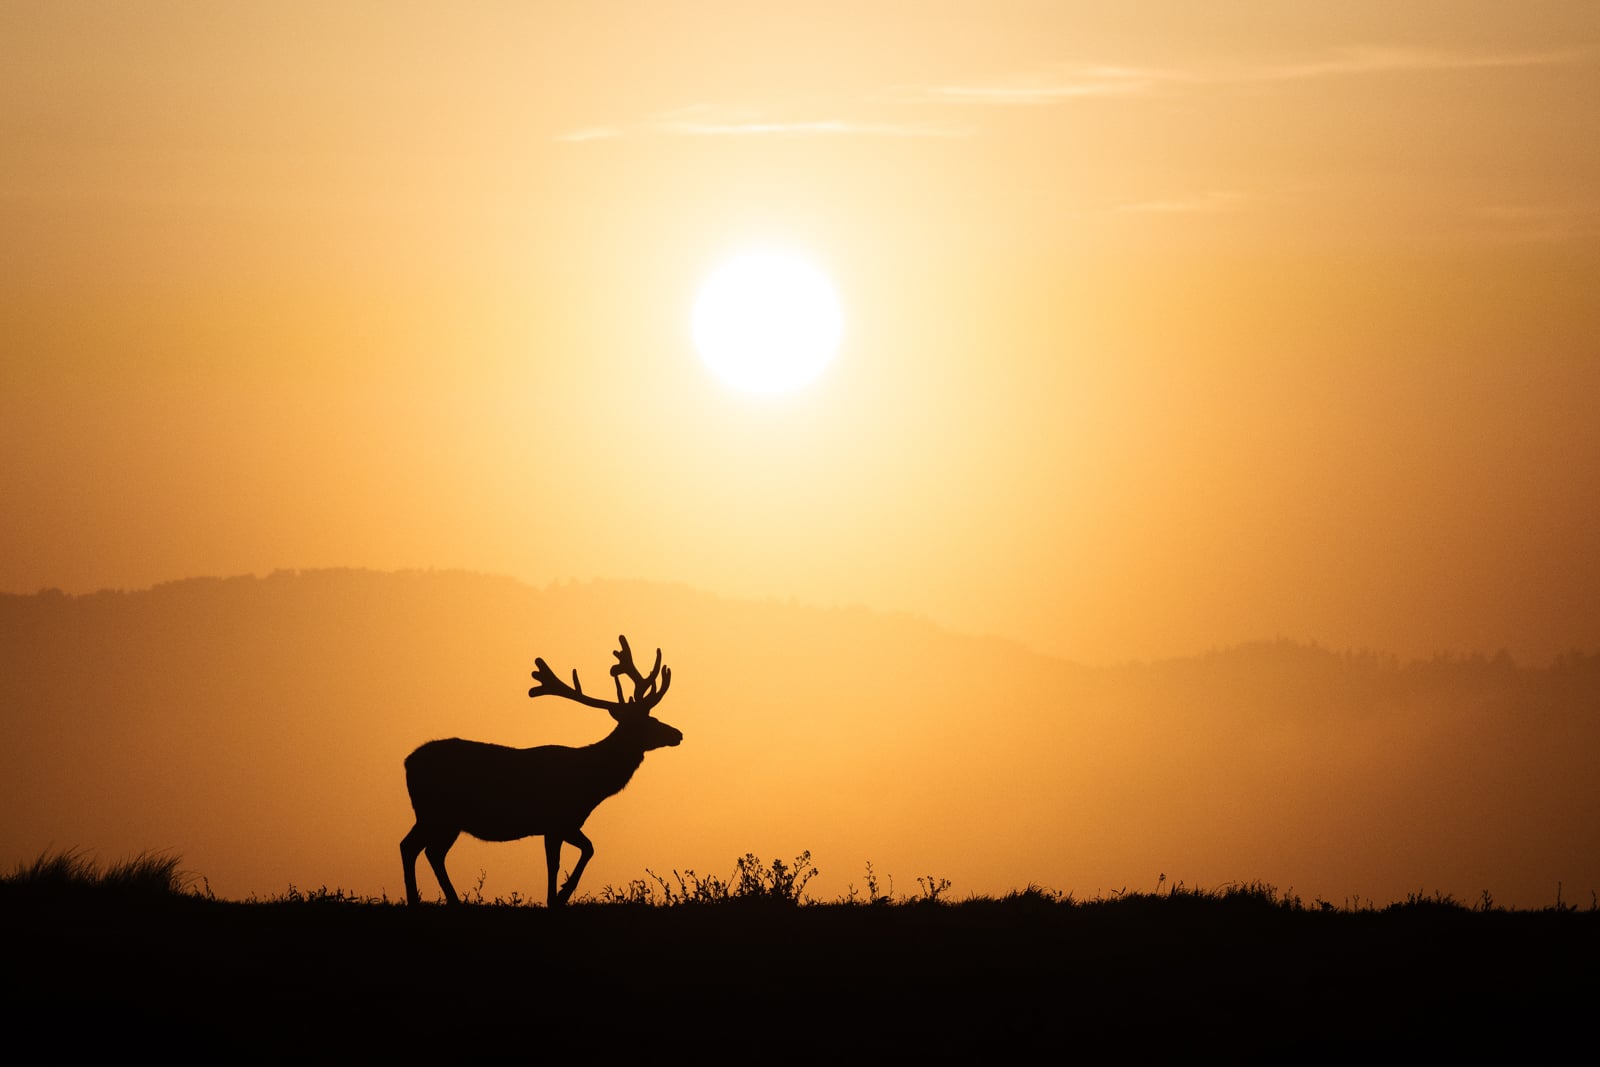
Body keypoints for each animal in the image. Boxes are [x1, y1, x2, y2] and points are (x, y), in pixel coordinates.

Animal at [401, 634, 682, 906]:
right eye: (648, 721)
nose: (677, 733)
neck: (591, 784)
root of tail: (407, 763)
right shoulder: (558, 820)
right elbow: (571, 856)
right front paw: (560, 895)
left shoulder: (564, 823)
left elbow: (574, 854)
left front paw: (557, 896)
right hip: (435, 812)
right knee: (412, 847)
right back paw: (418, 900)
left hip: (444, 819)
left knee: (430, 851)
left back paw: (450, 900)